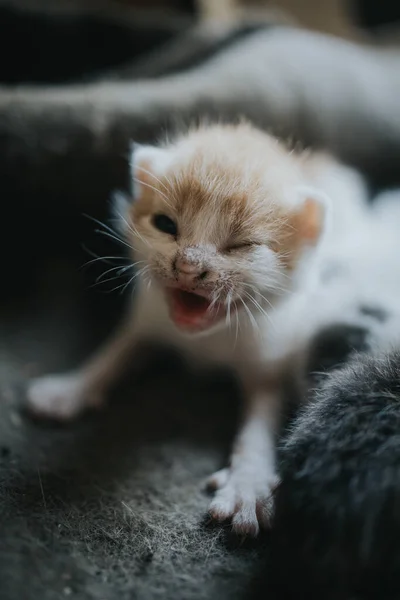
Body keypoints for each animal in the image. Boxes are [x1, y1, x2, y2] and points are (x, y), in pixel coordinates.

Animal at [25, 122, 366, 536]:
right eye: (166, 225)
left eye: (241, 245)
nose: (188, 266)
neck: (206, 342)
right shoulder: (150, 314)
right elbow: (119, 348)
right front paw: (70, 388)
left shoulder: (271, 352)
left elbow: (261, 420)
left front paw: (247, 485)